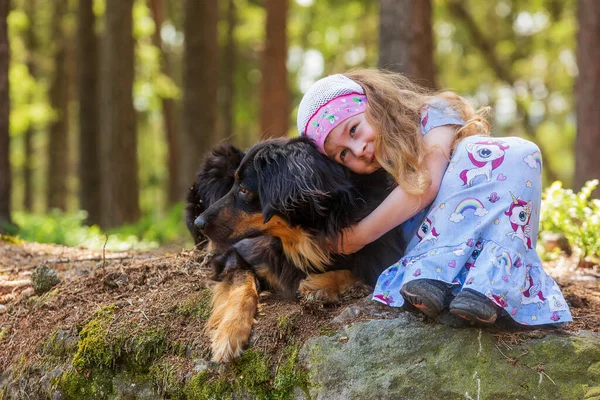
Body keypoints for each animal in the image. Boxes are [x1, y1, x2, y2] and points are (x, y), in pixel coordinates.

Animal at [188, 138, 404, 362]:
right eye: (234, 184)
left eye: (244, 190)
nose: (199, 223)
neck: (301, 237)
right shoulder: (237, 254)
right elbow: (241, 285)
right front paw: (229, 332)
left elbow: (361, 273)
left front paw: (319, 285)